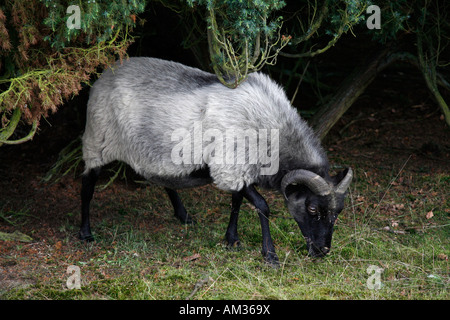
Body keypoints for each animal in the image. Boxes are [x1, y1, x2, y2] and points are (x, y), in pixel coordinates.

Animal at [81, 57, 356, 264]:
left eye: (338, 212)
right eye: (312, 209)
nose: (322, 251)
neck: (273, 131)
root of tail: (105, 73)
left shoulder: (238, 168)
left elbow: (236, 201)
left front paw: (231, 238)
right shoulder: (231, 166)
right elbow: (262, 206)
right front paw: (270, 255)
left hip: (152, 150)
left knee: (164, 178)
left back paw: (183, 215)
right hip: (98, 140)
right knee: (87, 184)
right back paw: (85, 233)